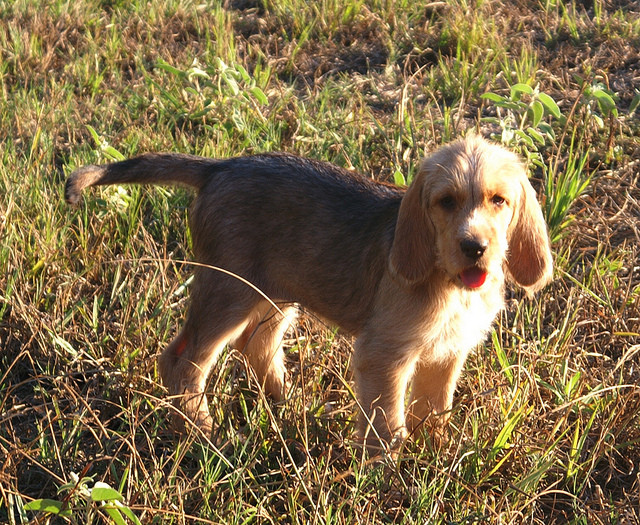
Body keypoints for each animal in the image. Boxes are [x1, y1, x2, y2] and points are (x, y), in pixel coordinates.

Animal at [65, 135, 552, 450]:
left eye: (498, 201)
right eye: (445, 202)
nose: (475, 248)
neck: (447, 281)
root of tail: (220, 167)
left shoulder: (445, 355)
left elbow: (434, 412)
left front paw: (437, 457)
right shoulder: (384, 354)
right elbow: (386, 425)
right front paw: (387, 480)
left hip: (273, 294)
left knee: (256, 346)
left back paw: (288, 405)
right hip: (227, 293)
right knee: (182, 360)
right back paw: (204, 433)